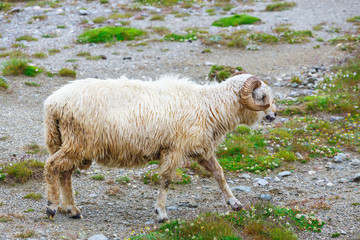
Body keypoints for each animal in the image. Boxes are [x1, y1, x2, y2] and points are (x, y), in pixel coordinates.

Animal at [43, 72, 278, 221]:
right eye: (262, 96)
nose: (273, 116)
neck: (210, 106)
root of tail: (53, 104)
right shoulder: (174, 149)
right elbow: (166, 180)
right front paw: (161, 213)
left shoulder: (200, 149)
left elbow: (219, 173)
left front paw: (235, 203)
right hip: (78, 142)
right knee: (52, 166)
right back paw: (52, 207)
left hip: (69, 143)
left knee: (65, 173)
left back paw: (72, 209)